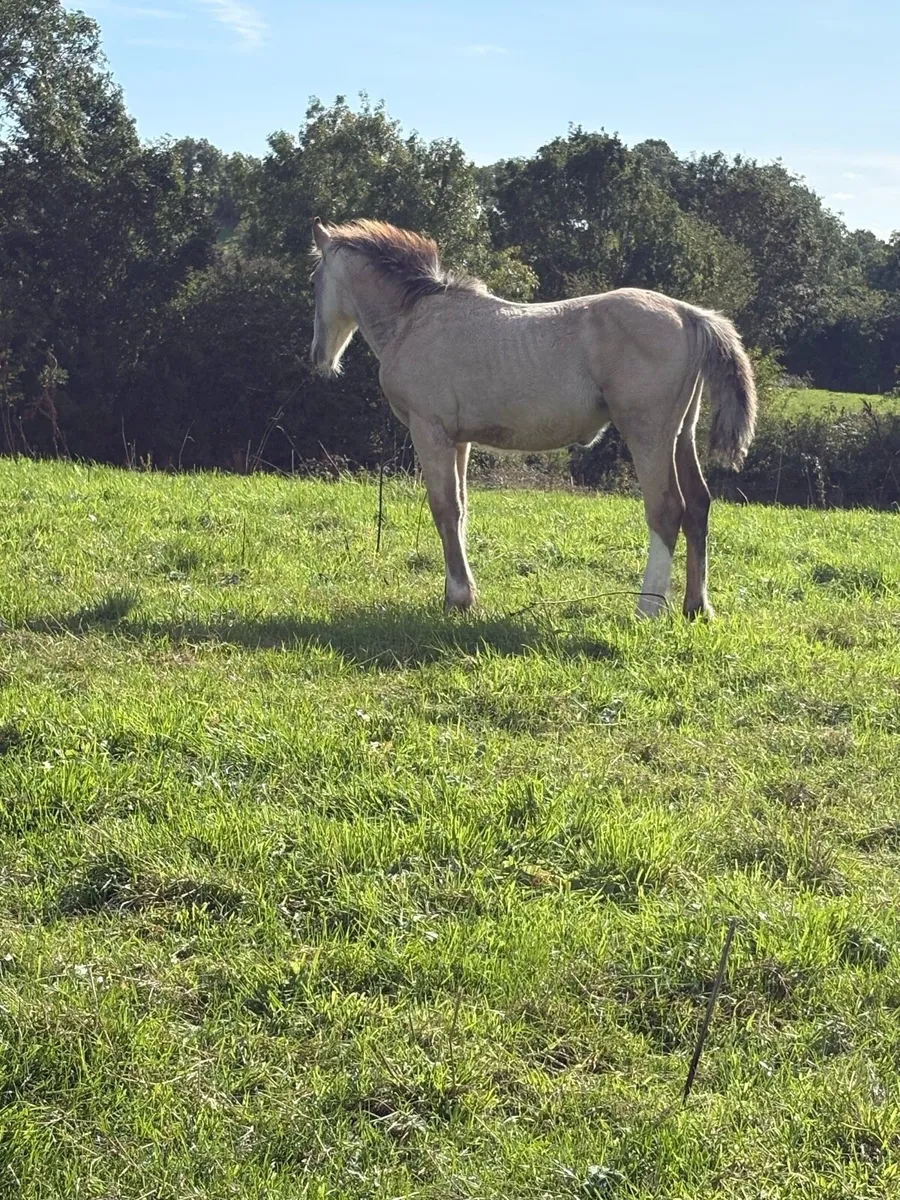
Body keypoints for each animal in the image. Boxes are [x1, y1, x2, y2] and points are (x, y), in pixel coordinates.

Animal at [309, 218, 757, 618]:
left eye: (315, 278)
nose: (319, 356)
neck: (417, 319)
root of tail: (687, 313)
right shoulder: (458, 440)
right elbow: (460, 509)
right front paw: (460, 594)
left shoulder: (429, 431)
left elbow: (444, 508)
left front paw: (459, 598)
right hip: (680, 435)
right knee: (698, 505)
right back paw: (696, 607)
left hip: (648, 435)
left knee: (667, 509)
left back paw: (648, 607)